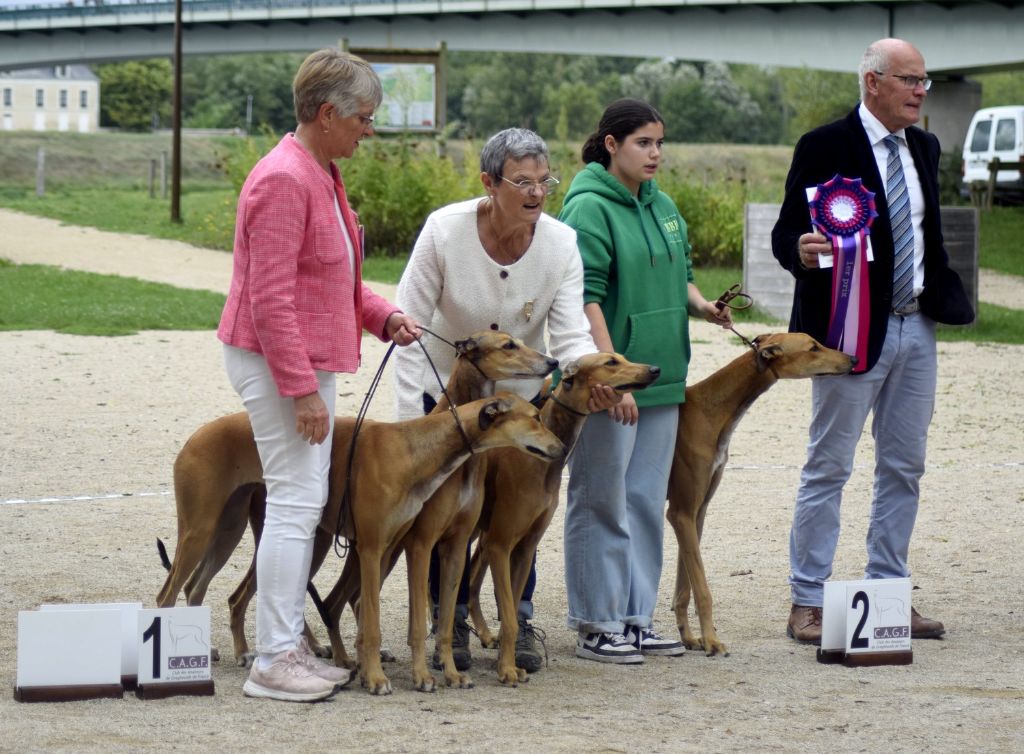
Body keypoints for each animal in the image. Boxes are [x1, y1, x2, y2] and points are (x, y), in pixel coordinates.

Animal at [157, 329, 561, 663]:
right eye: (508, 345)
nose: (553, 362)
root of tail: (195, 437)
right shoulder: (411, 542)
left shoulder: (427, 540)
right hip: (203, 530)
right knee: (175, 593)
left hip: (235, 532)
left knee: (201, 587)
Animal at [468, 352, 659, 684]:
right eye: (610, 362)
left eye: (622, 358)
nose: (655, 369)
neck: (538, 455)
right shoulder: (502, 544)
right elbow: (509, 614)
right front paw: (506, 670)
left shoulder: (523, 547)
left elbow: (512, 614)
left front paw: (509, 658)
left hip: (483, 534)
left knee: (471, 581)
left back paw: (482, 633)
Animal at [663, 329, 856, 655]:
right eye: (813, 347)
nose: (853, 359)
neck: (709, 409)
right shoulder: (680, 513)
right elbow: (702, 589)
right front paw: (712, 641)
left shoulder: (695, 513)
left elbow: (684, 586)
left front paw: (690, 638)